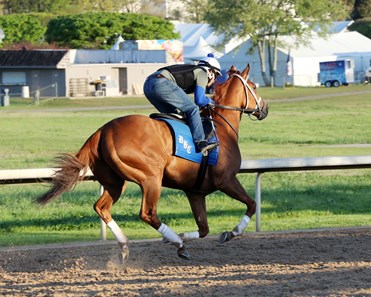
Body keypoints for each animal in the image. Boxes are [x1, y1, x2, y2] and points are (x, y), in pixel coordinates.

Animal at [36, 64, 268, 260]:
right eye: (254, 86)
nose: (264, 108)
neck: (221, 128)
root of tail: (102, 131)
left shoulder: (195, 191)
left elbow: (204, 229)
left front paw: (183, 236)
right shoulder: (226, 180)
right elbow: (252, 204)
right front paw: (231, 232)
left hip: (114, 183)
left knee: (101, 208)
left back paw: (126, 245)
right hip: (151, 178)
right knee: (148, 213)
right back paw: (176, 244)